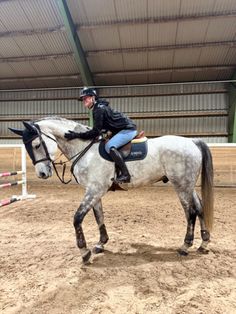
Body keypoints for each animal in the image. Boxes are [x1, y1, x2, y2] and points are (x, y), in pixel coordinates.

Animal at [9, 116, 214, 264]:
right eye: (27, 148)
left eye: (36, 145)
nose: (42, 173)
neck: (84, 149)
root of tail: (192, 142)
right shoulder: (94, 190)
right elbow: (98, 216)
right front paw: (101, 243)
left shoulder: (95, 190)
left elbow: (77, 218)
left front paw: (84, 252)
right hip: (188, 185)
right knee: (199, 207)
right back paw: (203, 243)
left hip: (181, 185)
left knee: (190, 212)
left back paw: (185, 246)